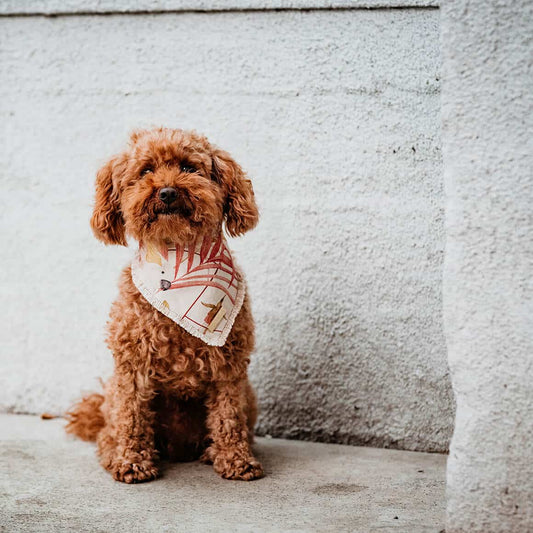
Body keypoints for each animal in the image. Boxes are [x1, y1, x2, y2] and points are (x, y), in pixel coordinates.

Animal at [67, 128, 262, 482]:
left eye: (188, 167)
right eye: (146, 170)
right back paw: (113, 453)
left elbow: (229, 416)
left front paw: (236, 460)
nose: (168, 192)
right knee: (110, 430)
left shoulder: (229, 367)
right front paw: (131, 461)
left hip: (249, 396)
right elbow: (132, 415)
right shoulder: (132, 364)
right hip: (113, 394)